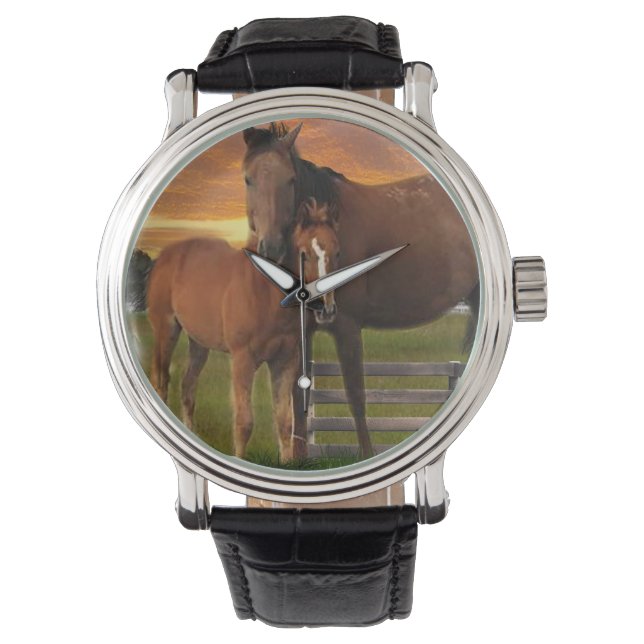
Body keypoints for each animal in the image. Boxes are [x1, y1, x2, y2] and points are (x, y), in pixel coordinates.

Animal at [146, 199, 340, 461]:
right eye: (304, 254)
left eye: (337, 252)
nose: (325, 309)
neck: (266, 294)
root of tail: (166, 255)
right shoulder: (243, 360)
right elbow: (244, 421)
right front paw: (239, 459)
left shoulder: (284, 361)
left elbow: (284, 421)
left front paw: (287, 463)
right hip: (166, 331)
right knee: (162, 381)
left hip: (198, 343)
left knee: (187, 386)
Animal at [242, 122, 480, 458]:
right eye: (248, 179)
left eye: (290, 180)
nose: (271, 247)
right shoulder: (302, 332)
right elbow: (299, 394)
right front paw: (298, 460)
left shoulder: (347, 326)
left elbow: (356, 395)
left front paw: (367, 455)